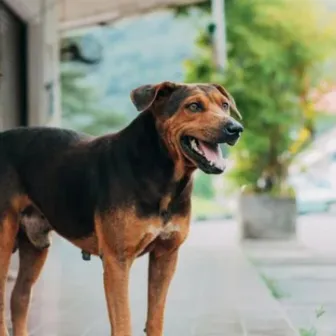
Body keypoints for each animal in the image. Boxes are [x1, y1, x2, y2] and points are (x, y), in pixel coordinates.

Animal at [0, 82, 243, 336]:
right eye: (193, 106)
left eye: (225, 105)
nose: (236, 129)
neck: (161, 173)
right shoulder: (117, 260)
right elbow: (123, 321)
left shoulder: (166, 256)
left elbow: (155, 318)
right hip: (4, 238)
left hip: (35, 245)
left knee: (19, 297)